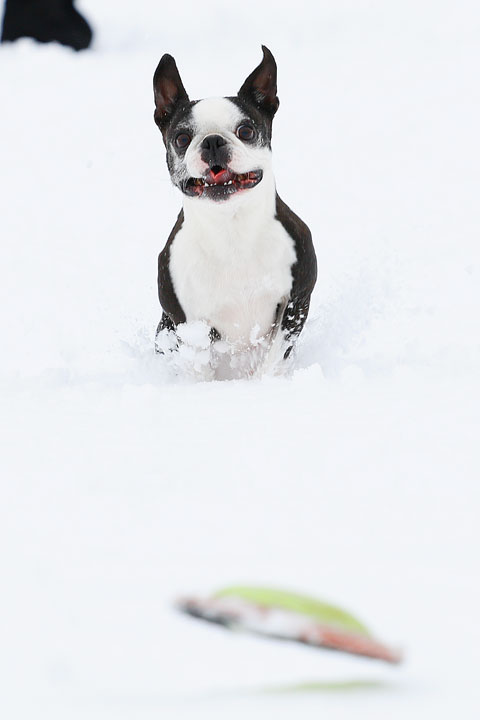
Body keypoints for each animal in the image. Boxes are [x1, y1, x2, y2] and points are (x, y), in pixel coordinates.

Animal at [153, 45, 316, 380]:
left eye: (246, 130)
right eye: (181, 139)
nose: (213, 141)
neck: (230, 226)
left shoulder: (296, 301)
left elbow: (275, 356)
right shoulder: (188, 324)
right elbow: (199, 366)